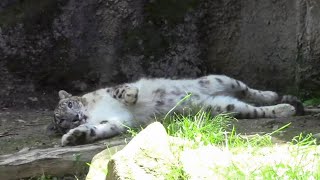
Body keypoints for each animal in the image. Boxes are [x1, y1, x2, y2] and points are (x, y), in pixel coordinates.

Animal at [48, 74, 304, 146]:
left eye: (69, 104)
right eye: (61, 121)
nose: (75, 118)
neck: (94, 112)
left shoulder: (109, 91)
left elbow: (121, 89)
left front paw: (131, 95)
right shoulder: (115, 121)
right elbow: (98, 129)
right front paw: (74, 136)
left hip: (222, 79)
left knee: (249, 90)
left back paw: (275, 97)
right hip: (225, 106)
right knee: (253, 109)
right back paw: (284, 109)